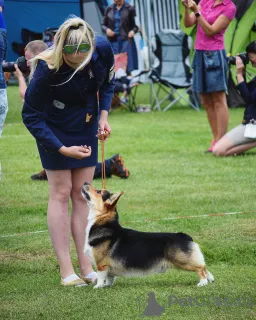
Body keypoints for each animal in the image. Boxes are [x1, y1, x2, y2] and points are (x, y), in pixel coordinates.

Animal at [81, 181, 214, 288]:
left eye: (98, 191)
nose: (85, 182)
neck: (102, 221)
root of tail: (185, 236)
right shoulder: (108, 267)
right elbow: (109, 278)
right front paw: (107, 285)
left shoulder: (102, 265)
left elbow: (101, 277)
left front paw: (98, 286)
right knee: (203, 266)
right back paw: (210, 279)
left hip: (183, 261)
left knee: (200, 269)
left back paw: (202, 283)